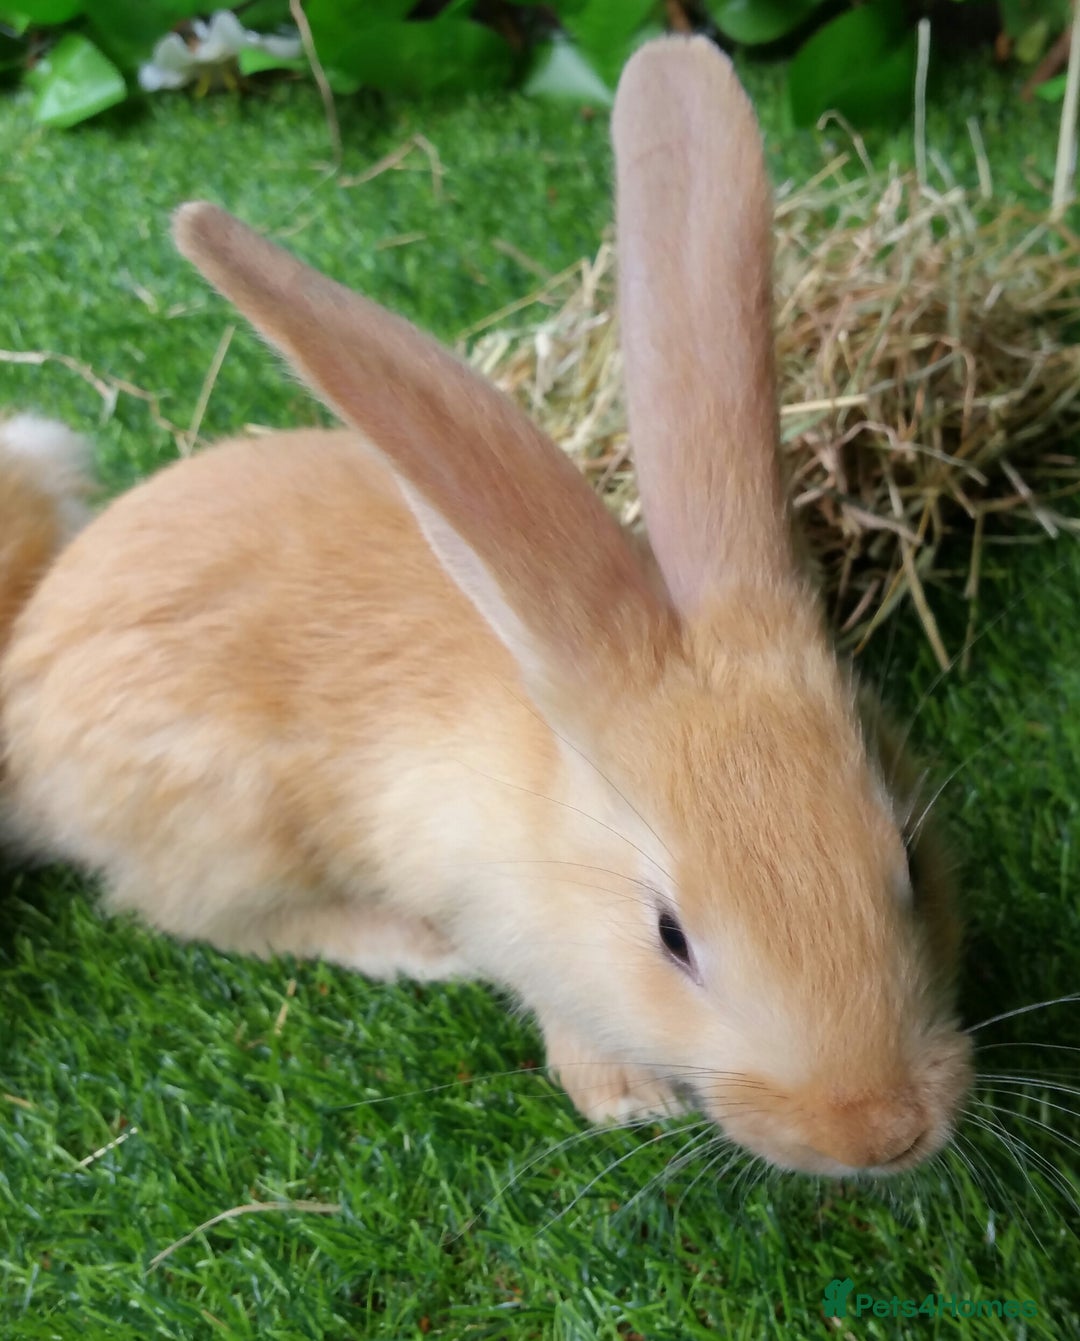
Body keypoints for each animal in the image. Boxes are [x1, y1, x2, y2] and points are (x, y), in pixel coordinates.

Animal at [0, 36, 970, 1175]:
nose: (880, 1134)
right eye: (671, 937)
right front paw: (627, 1101)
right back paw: (412, 947)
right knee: (195, 913)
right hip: (219, 825)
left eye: (908, 858)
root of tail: (23, 662)